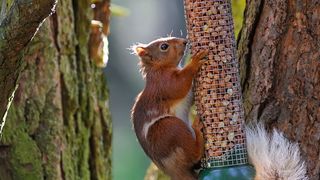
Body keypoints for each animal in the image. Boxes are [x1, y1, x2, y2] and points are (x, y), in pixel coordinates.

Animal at [130, 37, 208, 180]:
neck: (159, 68)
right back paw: (197, 130)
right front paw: (194, 62)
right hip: (169, 128)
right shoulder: (163, 83)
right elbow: (179, 85)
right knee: (194, 154)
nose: (185, 41)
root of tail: (174, 172)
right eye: (164, 46)